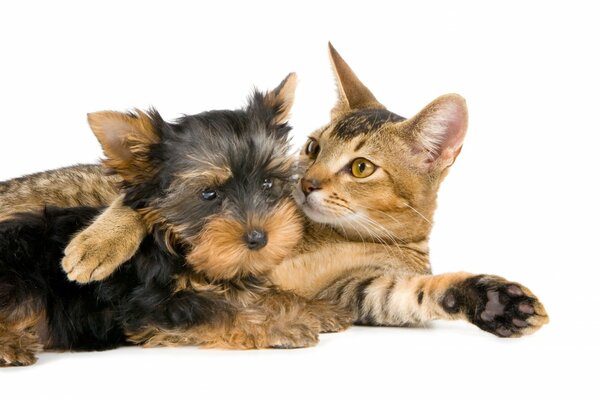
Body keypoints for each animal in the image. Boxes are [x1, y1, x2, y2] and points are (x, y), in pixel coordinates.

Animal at [0, 44, 548, 338]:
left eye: (361, 167)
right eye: (313, 146)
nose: (304, 183)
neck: (330, 234)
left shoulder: (359, 290)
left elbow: (414, 294)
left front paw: (493, 301)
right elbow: (144, 202)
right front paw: (98, 243)